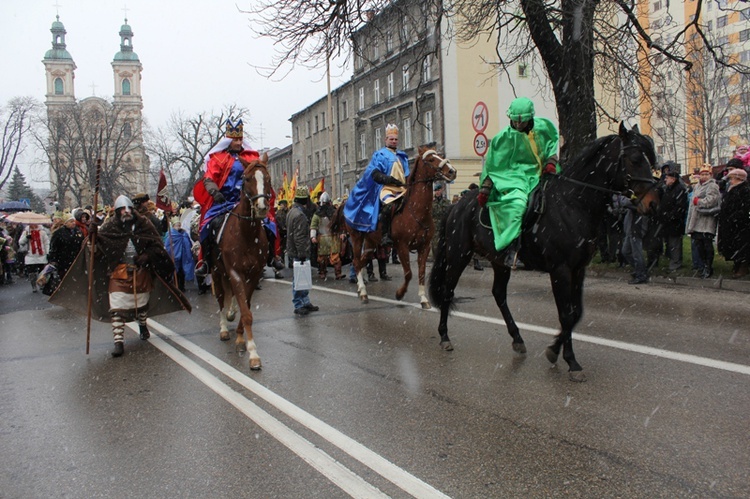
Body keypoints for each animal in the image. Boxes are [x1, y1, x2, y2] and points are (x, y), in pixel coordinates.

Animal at [210, 152, 272, 372]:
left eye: (267, 178)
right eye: (247, 179)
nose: (261, 208)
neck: (246, 234)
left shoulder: (253, 274)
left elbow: (246, 306)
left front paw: (241, 340)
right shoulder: (235, 273)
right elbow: (245, 312)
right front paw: (253, 354)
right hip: (216, 273)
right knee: (220, 299)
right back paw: (223, 328)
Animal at [342, 145, 458, 306]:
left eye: (439, 156)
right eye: (431, 159)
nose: (452, 171)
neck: (416, 211)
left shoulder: (424, 247)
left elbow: (421, 272)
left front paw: (423, 299)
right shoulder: (402, 246)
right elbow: (409, 273)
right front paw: (399, 294)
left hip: (371, 242)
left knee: (361, 261)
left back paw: (361, 289)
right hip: (357, 237)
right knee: (356, 261)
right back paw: (364, 292)